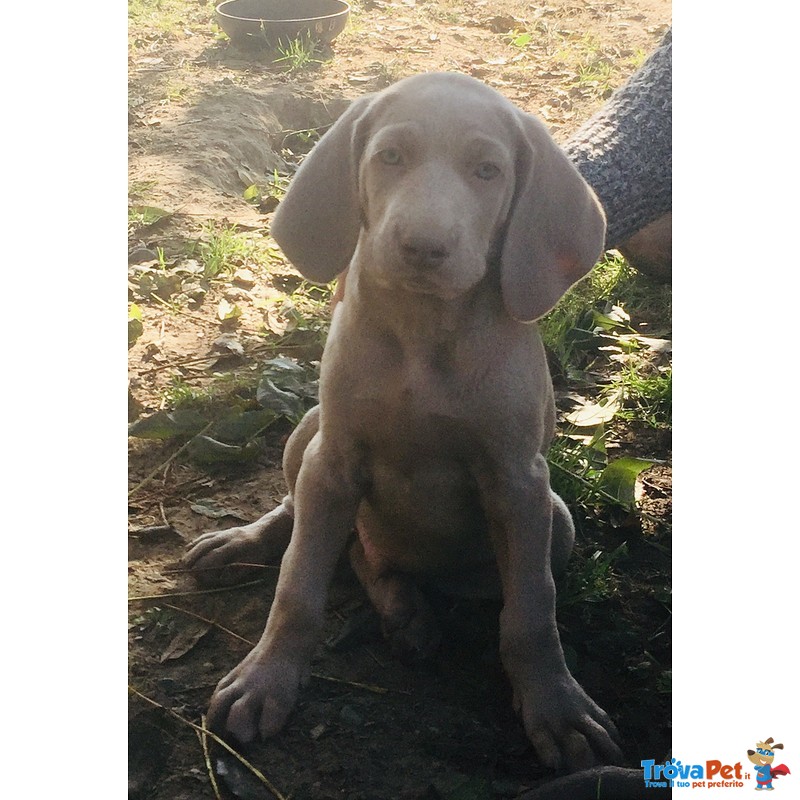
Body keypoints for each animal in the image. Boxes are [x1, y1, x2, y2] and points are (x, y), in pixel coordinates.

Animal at [186, 72, 624, 772]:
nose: (422, 246)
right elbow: (297, 585)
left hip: (557, 519)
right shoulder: (334, 460)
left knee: (380, 563)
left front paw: (557, 706)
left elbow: (531, 611)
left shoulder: (519, 483)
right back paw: (250, 544)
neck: (423, 333)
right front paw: (265, 680)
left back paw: (409, 614)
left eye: (486, 171)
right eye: (390, 157)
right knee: (317, 530)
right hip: (308, 435)